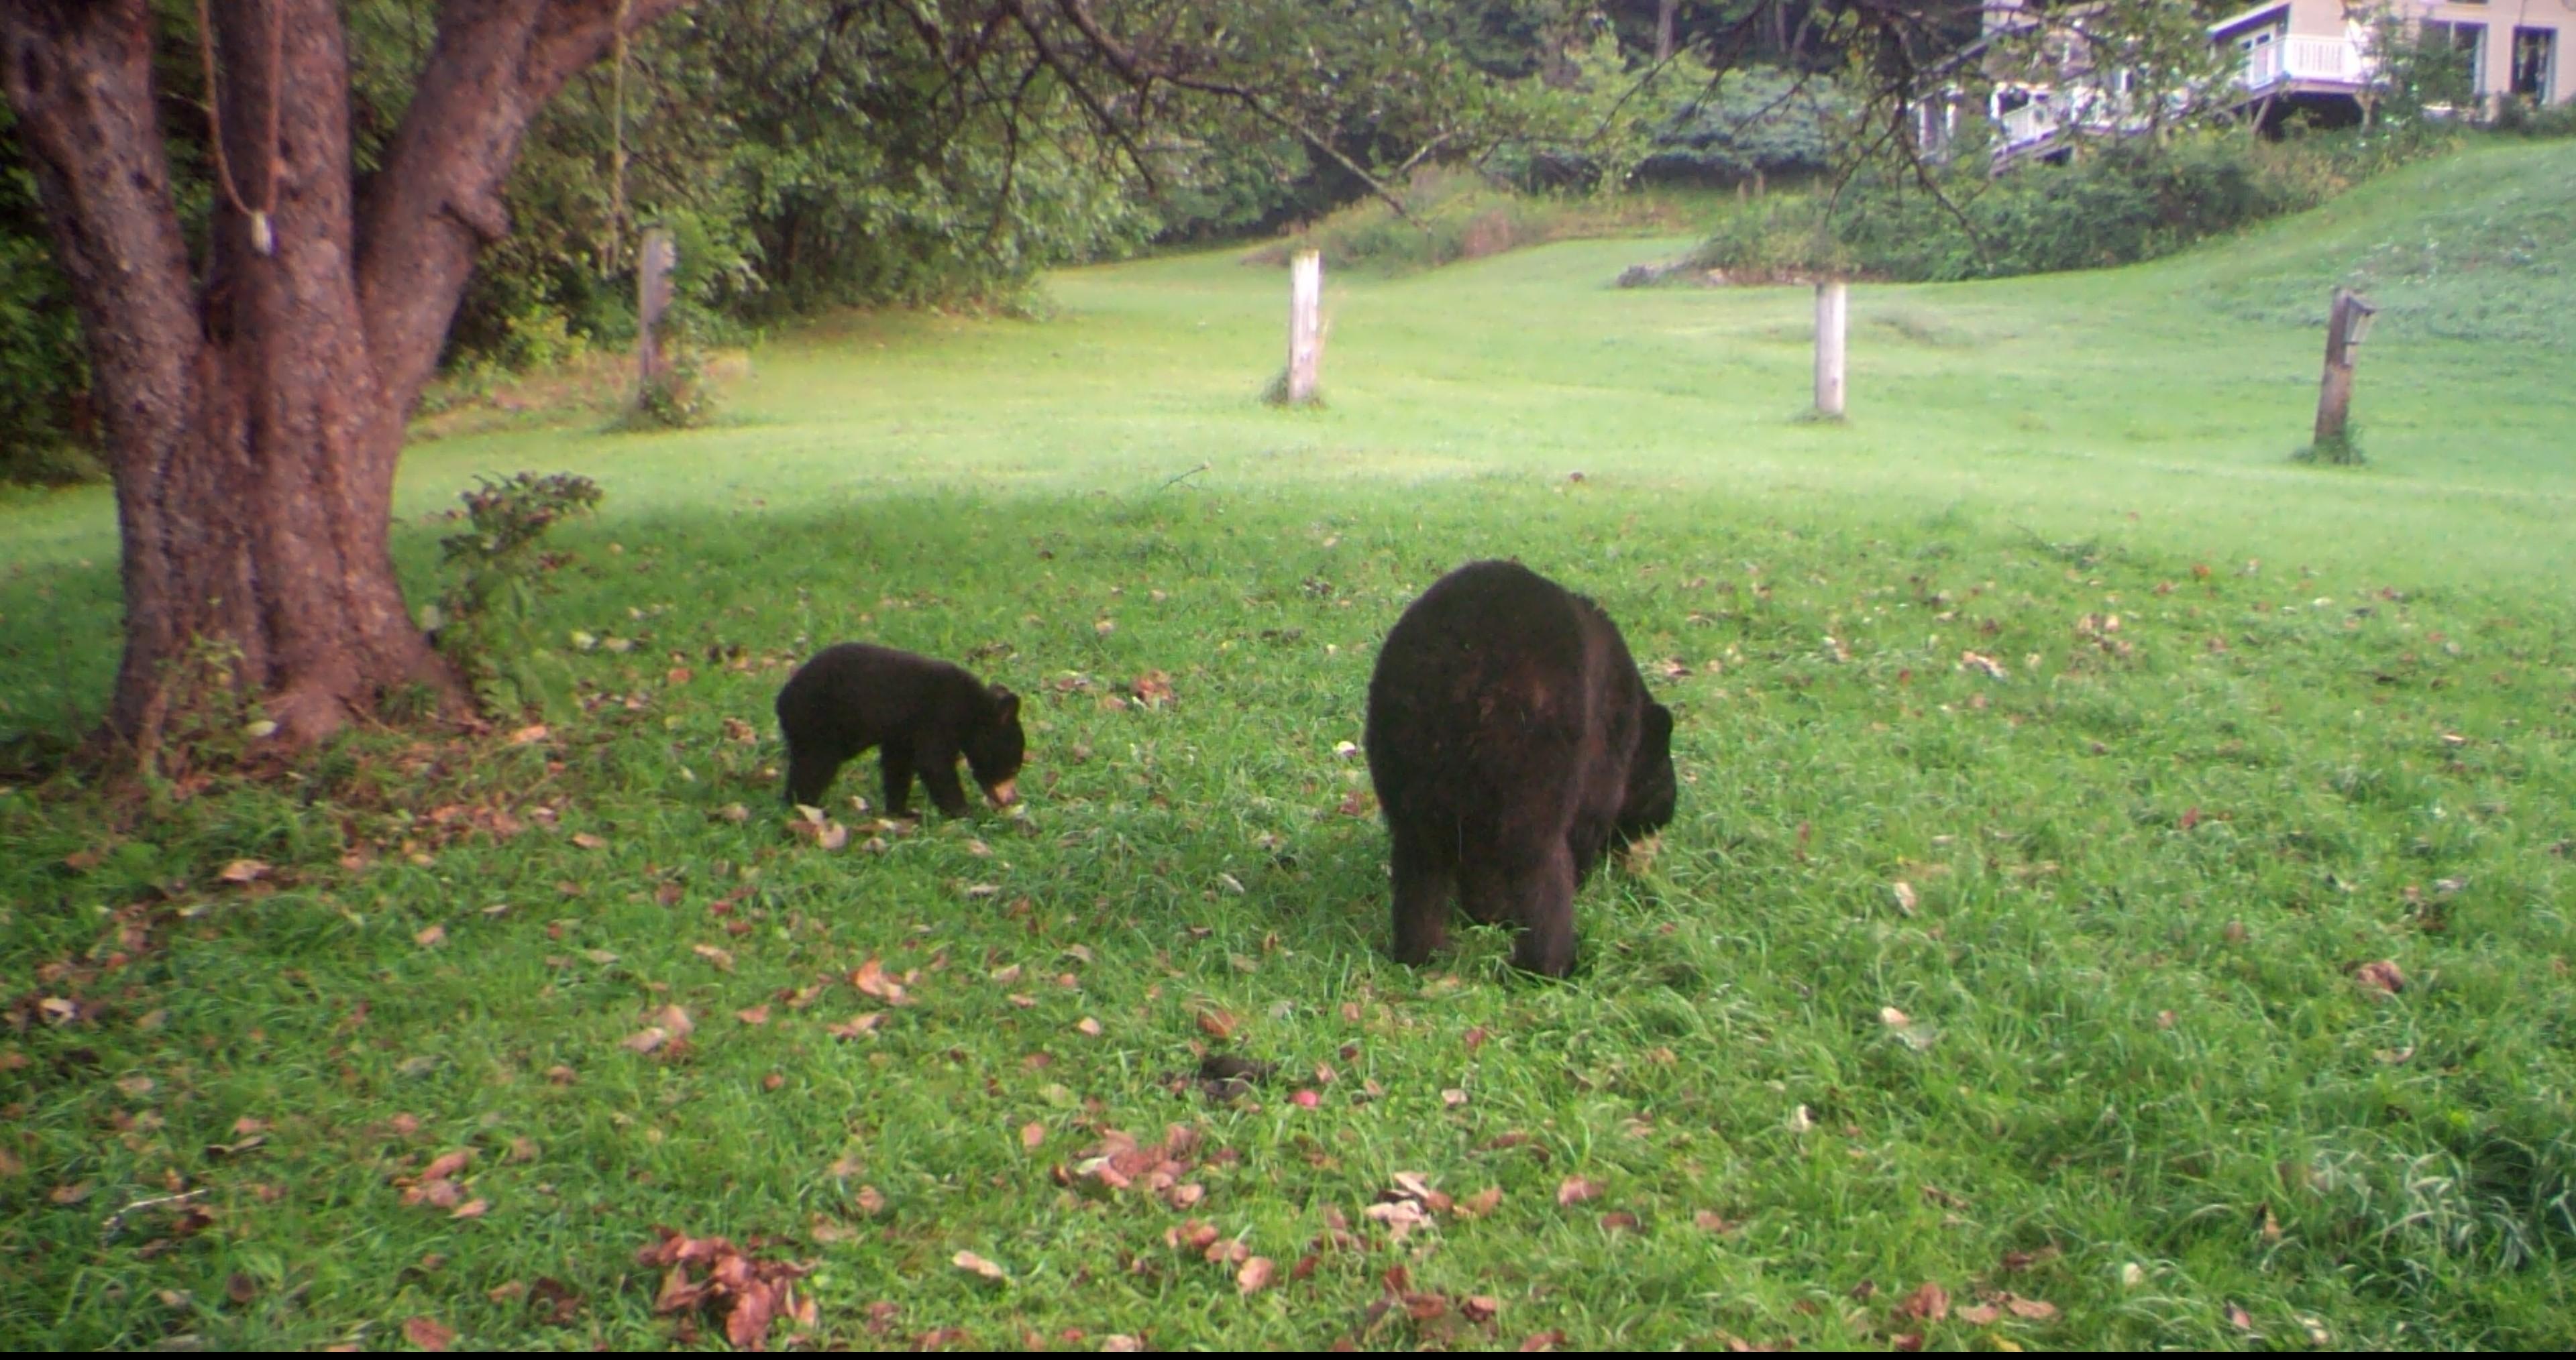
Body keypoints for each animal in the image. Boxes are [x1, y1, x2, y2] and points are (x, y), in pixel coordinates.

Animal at [773, 646, 1025, 824]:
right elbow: (934, 764)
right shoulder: (937, 717)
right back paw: (809, 808)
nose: (1011, 798)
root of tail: (782, 699)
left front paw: (901, 812)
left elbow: (898, 767)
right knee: (815, 767)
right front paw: (966, 814)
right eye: (1013, 768)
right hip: (819, 724)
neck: (972, 710)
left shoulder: (902, 733)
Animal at [1370, 564, 1669, 978]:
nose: (1667, 816)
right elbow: (1590, 818)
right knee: (1538, 859)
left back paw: (1419, 953)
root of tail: (1459, 665)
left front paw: (1485, 913)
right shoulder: (1604, 753)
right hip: (1534, 752)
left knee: (1419, 859)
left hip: (1405, 753)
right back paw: (1549, 964)